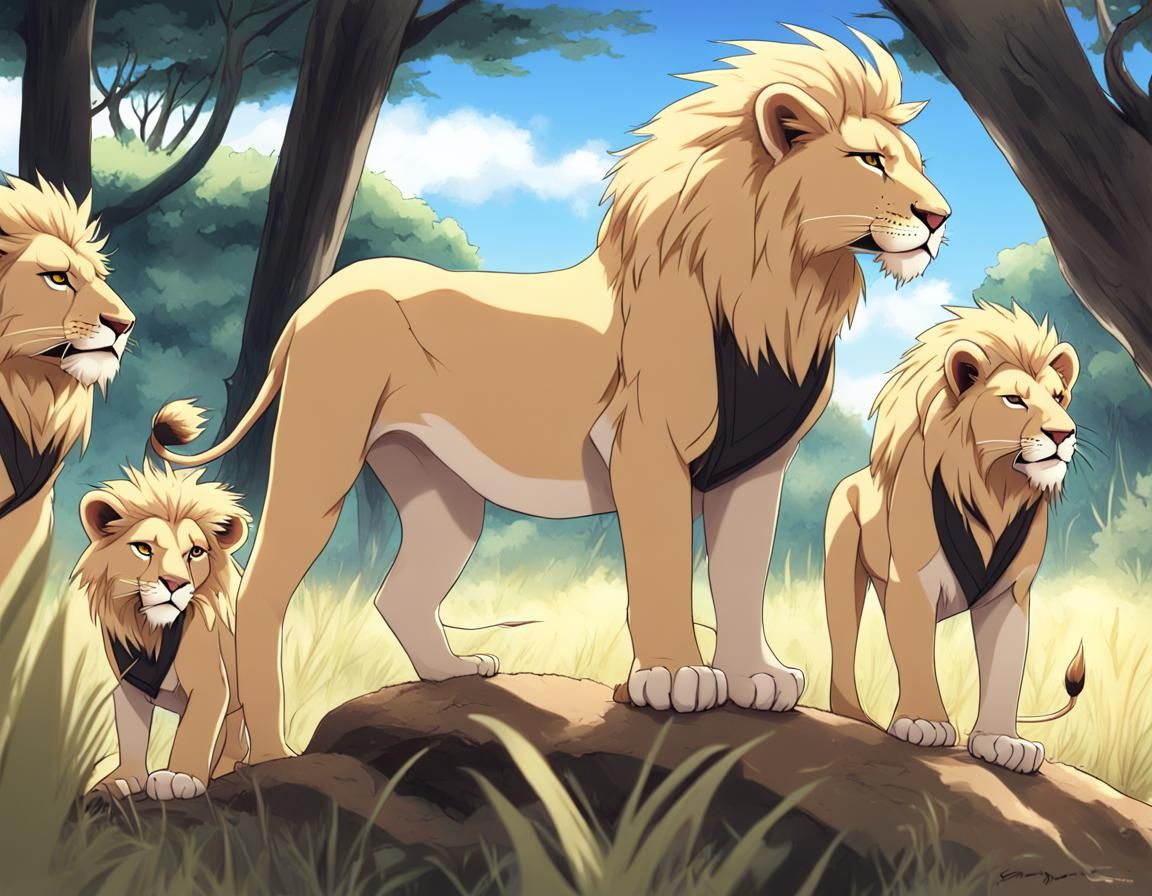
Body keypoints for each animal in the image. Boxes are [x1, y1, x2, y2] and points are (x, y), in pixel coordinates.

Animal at [74, 462, 252, 800]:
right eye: (144, 548)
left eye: (195, 552)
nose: (175, 583)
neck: (151, 631)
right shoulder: (128, 683)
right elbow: (131, 734)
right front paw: (121, 779)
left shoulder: (210, 682)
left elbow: (196, 728)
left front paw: (181, 776)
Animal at [150, 26, 951, 764]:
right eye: (870, 159)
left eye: (916, 163)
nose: (940, 219)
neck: (780, 285)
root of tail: (311, 304)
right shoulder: (648, 450)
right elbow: (663, 569)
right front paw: (676, 677)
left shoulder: (755, 471)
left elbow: (742, 576)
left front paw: (756, 676)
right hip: (321, 456)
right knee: (261, 596)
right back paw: (270, 752)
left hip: (445, 495)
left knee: (396, 592)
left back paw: (452, 674)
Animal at [824, 301, 1086, 774]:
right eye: (1015, 399)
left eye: (1058, 398)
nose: (1063, 434)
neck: (996, 489)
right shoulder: (912, 583)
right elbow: (915, 653)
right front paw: (922, 721)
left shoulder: (1010, 595)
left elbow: (1005, 669)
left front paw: (1003, 741)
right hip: (841, 571)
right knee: (843, 645)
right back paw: (857, 718)